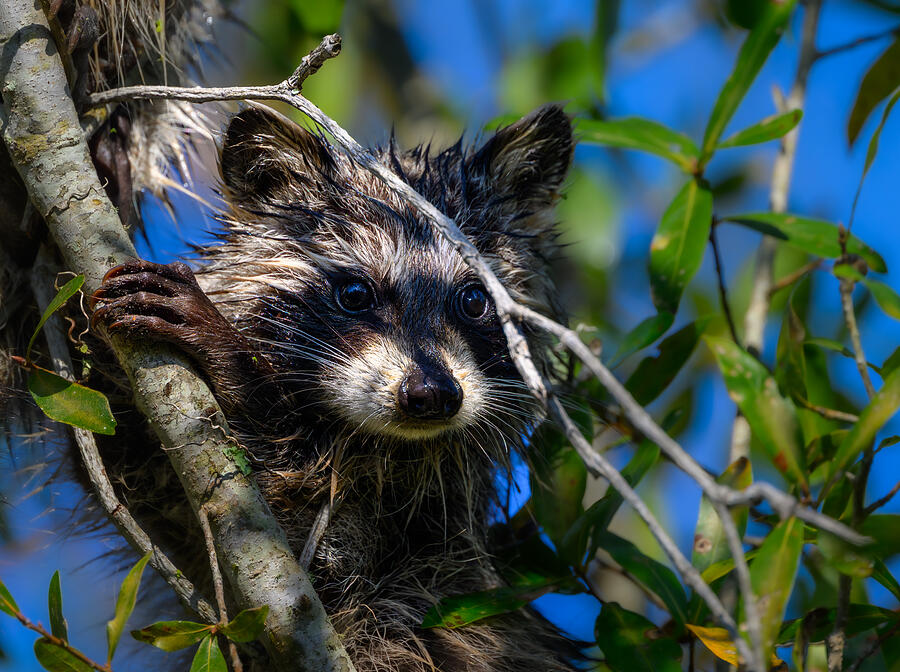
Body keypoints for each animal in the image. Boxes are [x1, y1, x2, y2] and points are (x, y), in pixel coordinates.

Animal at [88, 103, 578, 672]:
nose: (432, 395)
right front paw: (105, 178)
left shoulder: (416, 541)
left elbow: (299, 551)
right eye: (356, 294)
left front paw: (232, 360)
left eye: (475, 300)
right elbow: (124, 465)